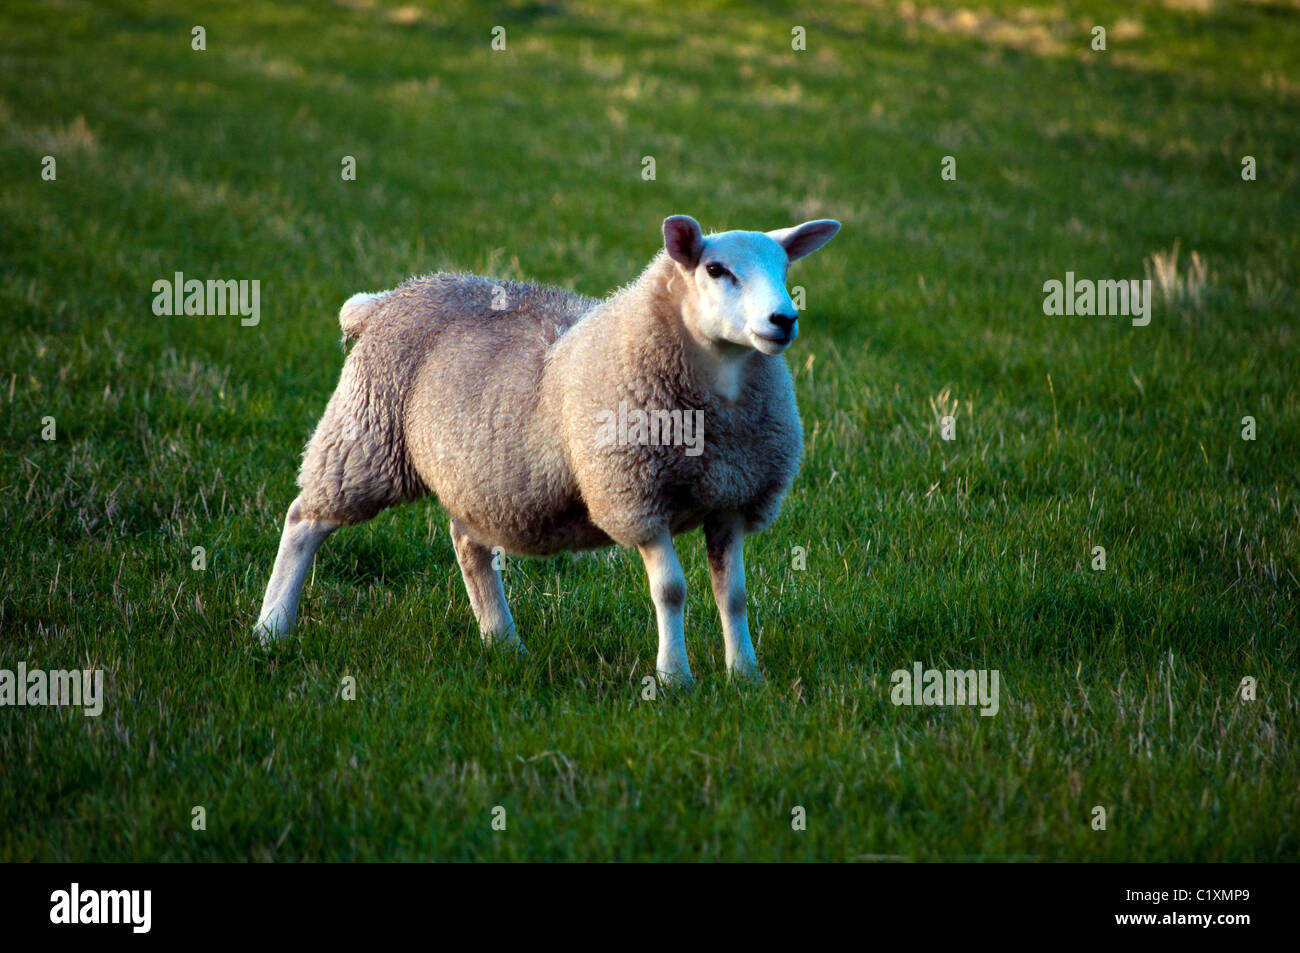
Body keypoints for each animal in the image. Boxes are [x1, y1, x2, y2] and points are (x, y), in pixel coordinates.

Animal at [253, 213, 842, 686]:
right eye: (716, 270)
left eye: (784, 270)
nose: (784, 319)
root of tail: (386, 300)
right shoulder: (635, 498)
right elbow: (671, 591)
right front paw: (675, 678)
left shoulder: (733, 501)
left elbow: (734, 595)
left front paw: (746, 677)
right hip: (364, 439)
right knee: (303, 520)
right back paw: (271, 627)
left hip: (477, 474)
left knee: (467, 545)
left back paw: (503, 641)